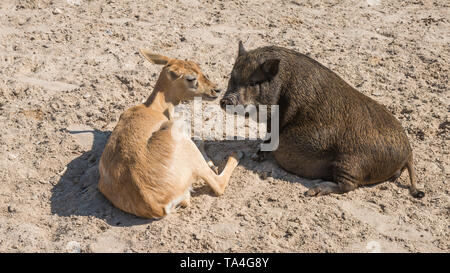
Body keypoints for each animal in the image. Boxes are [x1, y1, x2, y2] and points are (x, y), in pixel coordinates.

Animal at [98, 50, 243, 218]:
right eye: (190, 78)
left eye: (199, 68)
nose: (216, 90)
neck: (152, 108)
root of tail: (155, 205)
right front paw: (213, 163)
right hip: (183, 141)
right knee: (217, 184)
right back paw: (235, 154)